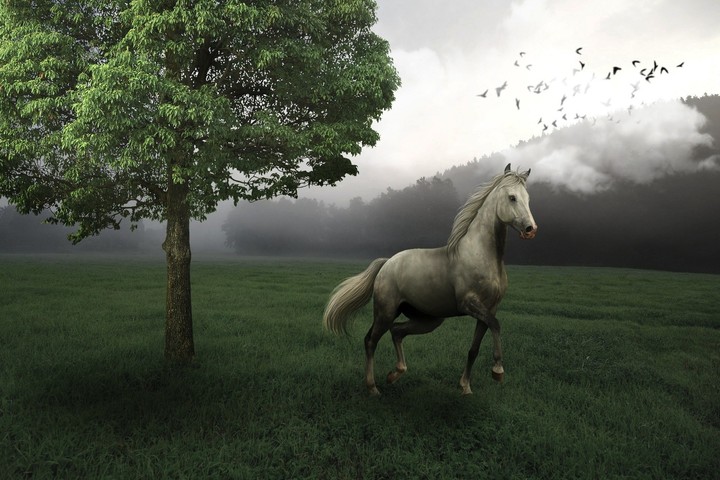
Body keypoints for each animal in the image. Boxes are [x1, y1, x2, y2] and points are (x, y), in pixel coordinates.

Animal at [323, 164, 538, 396]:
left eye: (528, 198)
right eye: (512, 197)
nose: (531, 229)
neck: (480, 254)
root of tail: (387, 263)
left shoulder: (489, 308)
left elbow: (475, 347)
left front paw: (465, 387)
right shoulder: (469, 303)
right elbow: (496, 326)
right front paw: (498, 372)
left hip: (427, 319)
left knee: (397, 331)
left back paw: (395, 374)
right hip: (386, 312)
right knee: (371, 340)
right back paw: (373, 388)